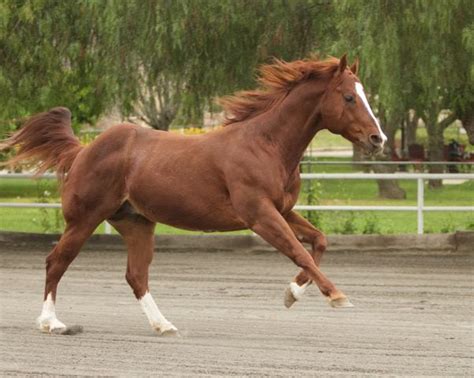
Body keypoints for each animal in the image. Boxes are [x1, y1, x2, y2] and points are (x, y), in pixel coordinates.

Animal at [1, 54, 386, 336]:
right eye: (349, 97)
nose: (377, 139)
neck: (266, 146)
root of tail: (83, 150)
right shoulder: (259, 214)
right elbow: (299, 252)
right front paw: (336, 296)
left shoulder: (282, 210)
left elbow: (319, 241)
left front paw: (292, 294)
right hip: (84, 218)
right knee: (56, 261)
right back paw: (51, 323)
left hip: (136, 223)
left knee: (136, 276)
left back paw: (163, 325)